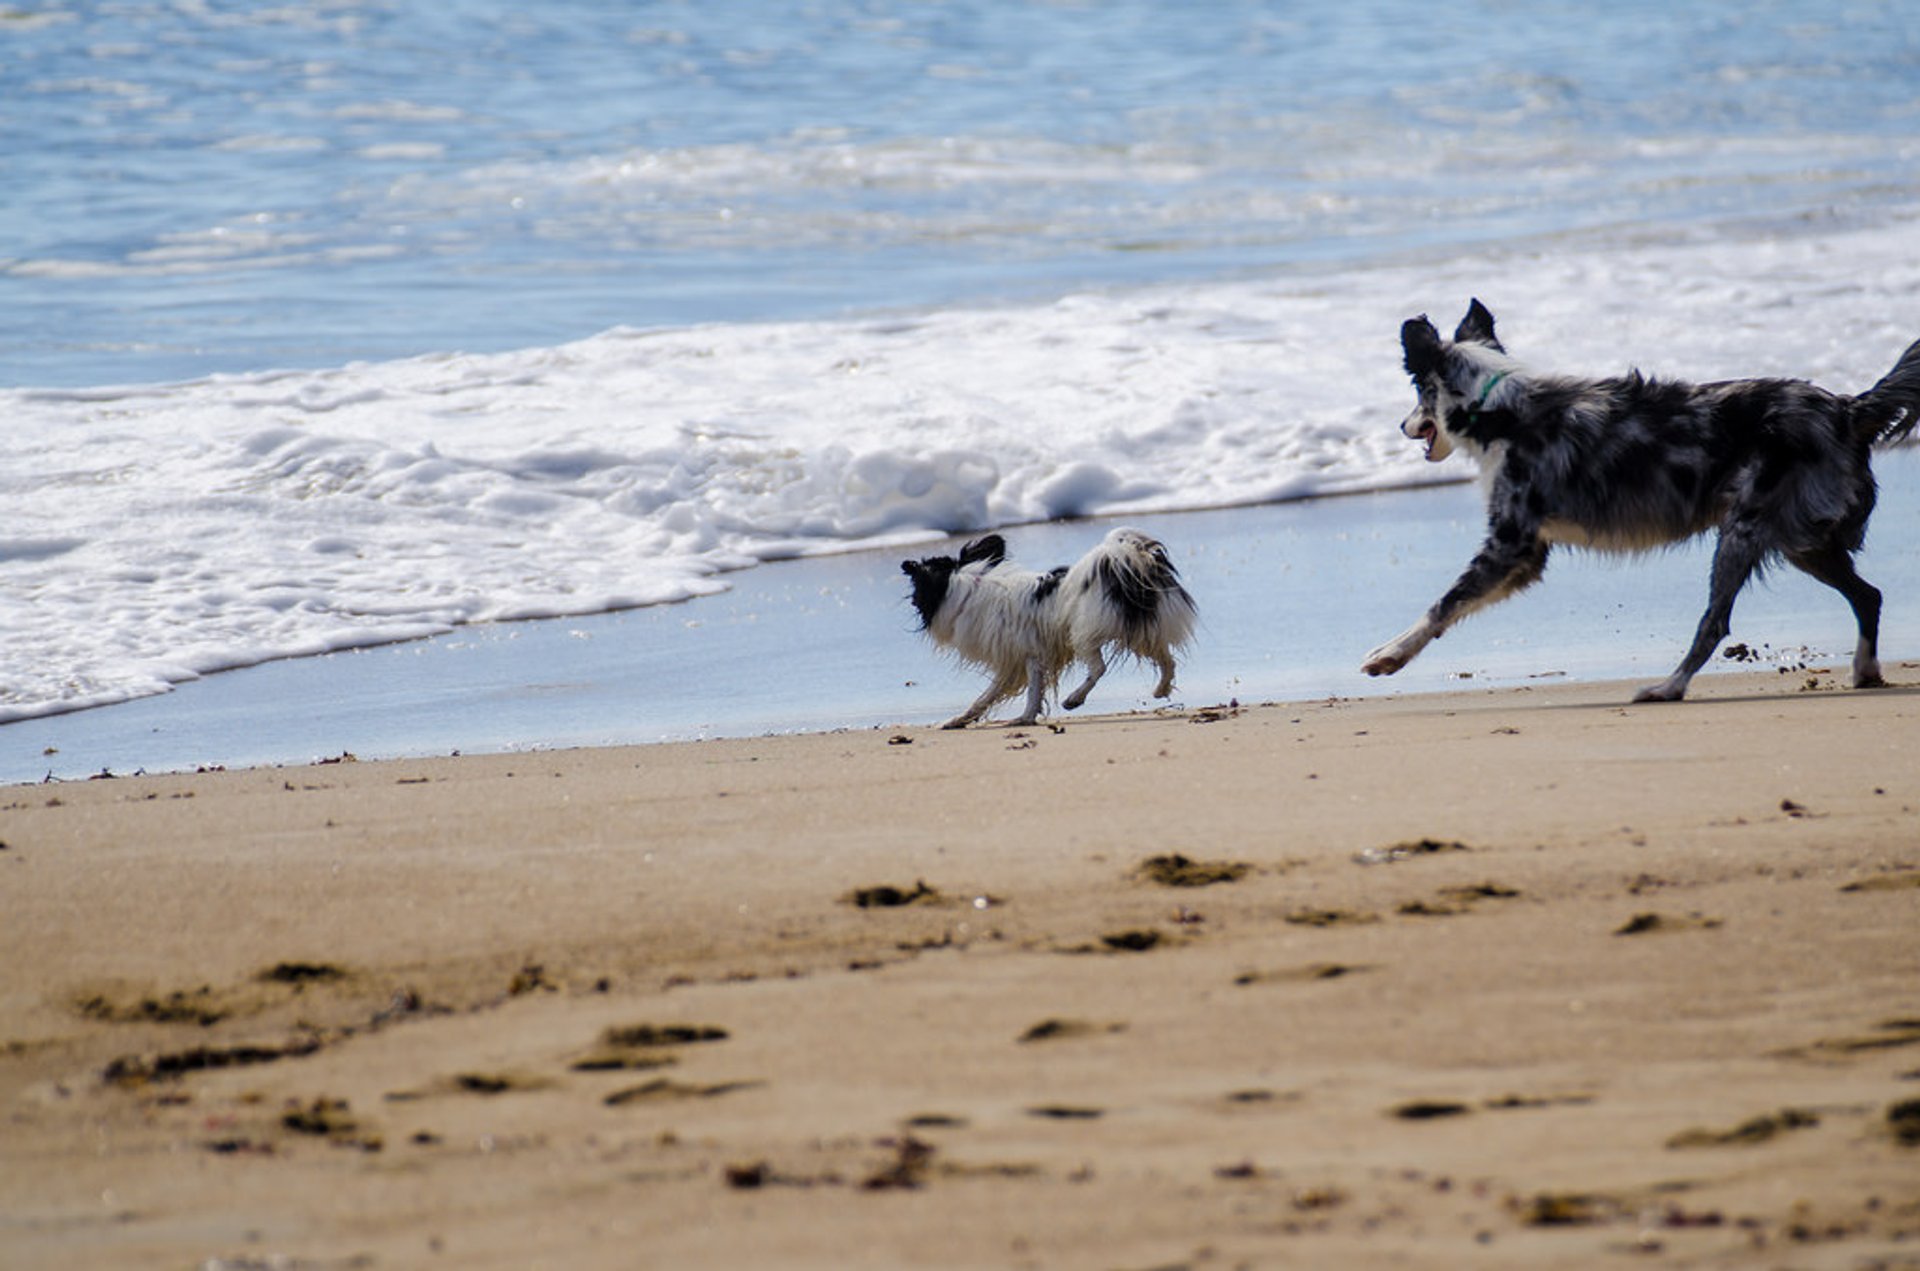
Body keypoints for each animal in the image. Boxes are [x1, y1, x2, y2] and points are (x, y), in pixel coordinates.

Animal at [902, 526, 1198, 725]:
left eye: (917, 590)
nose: (912, 601)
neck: (967, 586)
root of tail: (1124, 560)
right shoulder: (1017, 660)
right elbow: (988, 695)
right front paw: (961, 720)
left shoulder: (1030, 654)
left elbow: (1030, 691)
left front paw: (1023, 719)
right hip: (1141, 633)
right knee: (1167, 660)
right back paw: (1161, 690)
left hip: (1083, 633)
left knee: (1099, 668)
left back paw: (1074, 698)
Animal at [1367, 303, 1920, 706]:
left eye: (1418, 393)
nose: (1401, 425)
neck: (1496, 408)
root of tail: (1846, 409)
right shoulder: (1526, 555)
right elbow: (1451, 604)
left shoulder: (1510, 545)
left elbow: (1444, 603)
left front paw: (1390, 654)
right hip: (1803, 543)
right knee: (1868, 596)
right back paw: (1865, 670)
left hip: (1742, 531)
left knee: (1714, 623)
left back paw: (1668, 687)